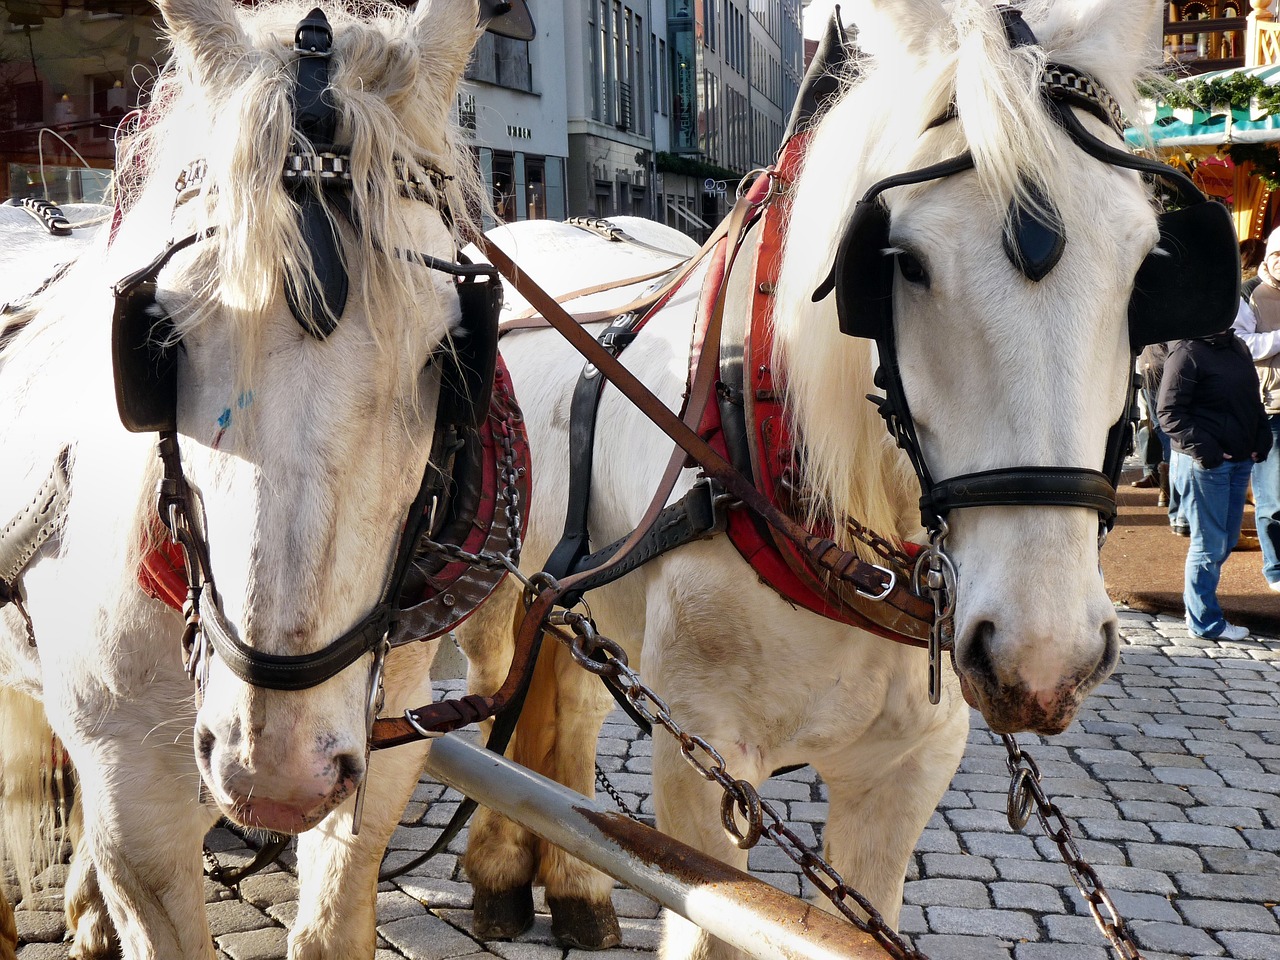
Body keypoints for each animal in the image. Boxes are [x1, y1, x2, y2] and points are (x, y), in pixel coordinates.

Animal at [0, 3, 488, 957]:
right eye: (158, 337)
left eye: (448, 355)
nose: (280, 775)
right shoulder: (130, 781)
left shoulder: (386, 739)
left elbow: (332, 923)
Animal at [458, 0, 1208, 957]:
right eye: (902, 261)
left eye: (1149, 263)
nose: (1044, 658)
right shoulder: (703, 765)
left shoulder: (907, 769)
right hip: (496, 577)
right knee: (493, 693)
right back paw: (497, 870)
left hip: (578, 593)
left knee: (568, 709)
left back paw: (576, 885)